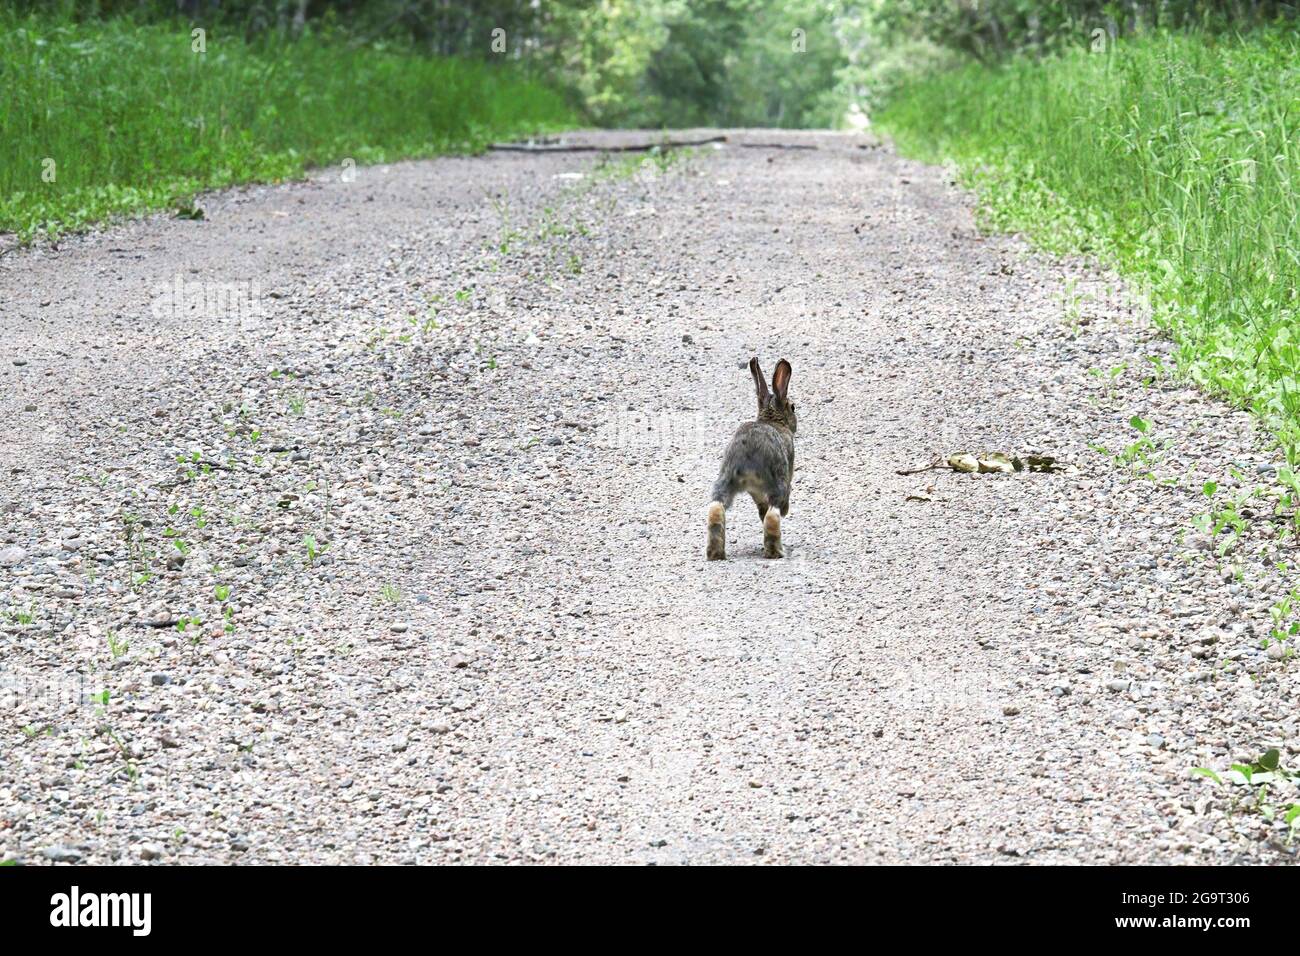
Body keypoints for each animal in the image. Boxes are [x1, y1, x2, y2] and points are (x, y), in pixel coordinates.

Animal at [707, 358, 795, 561]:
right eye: (793, 407)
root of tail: (748, 458)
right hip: (778, 484)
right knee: (772, 515)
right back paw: (777, 552)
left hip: (726, 480)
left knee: (716, 509)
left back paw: (715, 554)